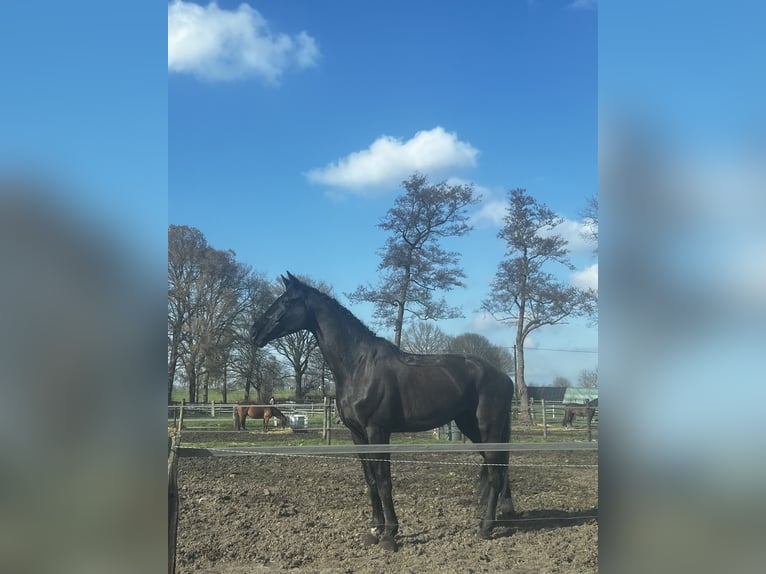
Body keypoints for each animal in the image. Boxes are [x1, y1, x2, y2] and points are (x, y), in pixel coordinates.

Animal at [251, 272, 514, 550]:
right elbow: (371, 481)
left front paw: (390, 534)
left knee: (495, 473)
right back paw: (497, 514)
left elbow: (384, 480)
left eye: (287, 301)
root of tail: (504, 377)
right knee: (496, 467)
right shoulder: (357, 434)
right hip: (471, 427)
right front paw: (375, 528)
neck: (358, 365)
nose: (254, 332)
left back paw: (486, 527)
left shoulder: (377, 431)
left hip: (488, 427)